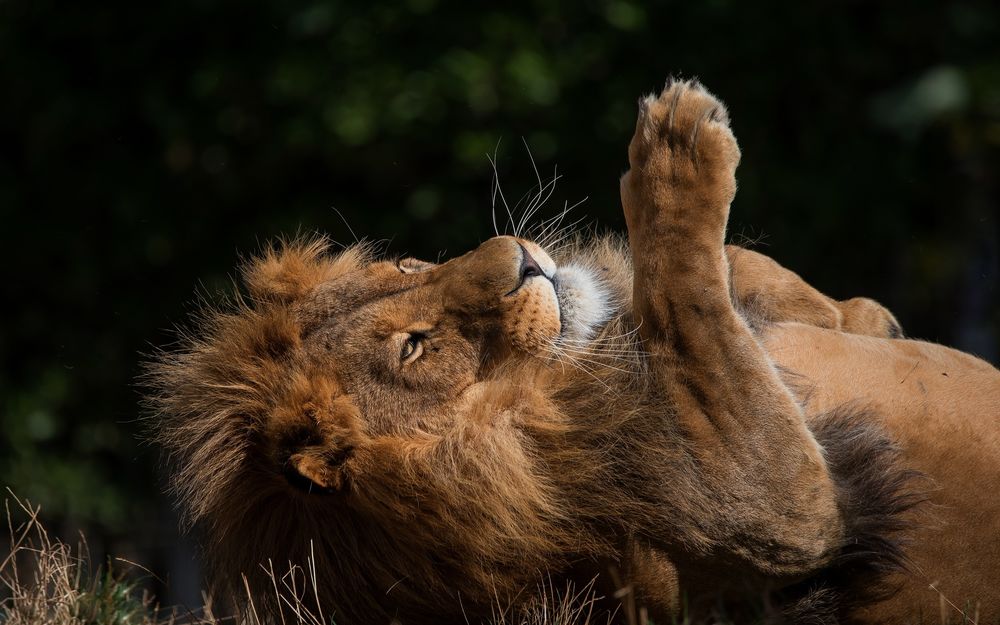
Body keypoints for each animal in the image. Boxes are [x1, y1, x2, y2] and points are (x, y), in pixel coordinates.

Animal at [148, 80, 1000, 624]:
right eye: (416, 348)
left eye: (408, 268)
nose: (522, 257)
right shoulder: (778, 521)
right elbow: (691, 303)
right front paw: (677, 143)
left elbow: (730, 279)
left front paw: (861, 314)